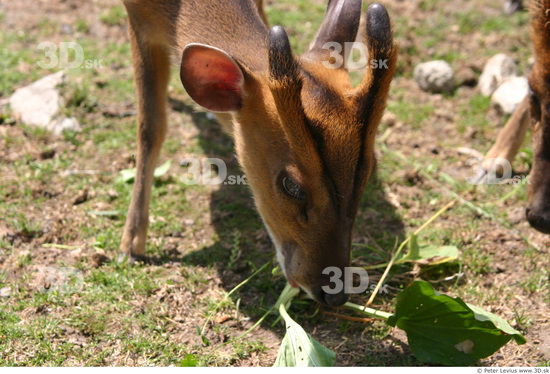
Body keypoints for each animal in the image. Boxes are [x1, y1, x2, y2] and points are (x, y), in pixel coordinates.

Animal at [119, 0, 396, 306]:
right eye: (292, 186)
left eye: (368, 172)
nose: (335, 294)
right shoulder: (137, 21)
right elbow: (150, 128)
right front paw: (131, 245)